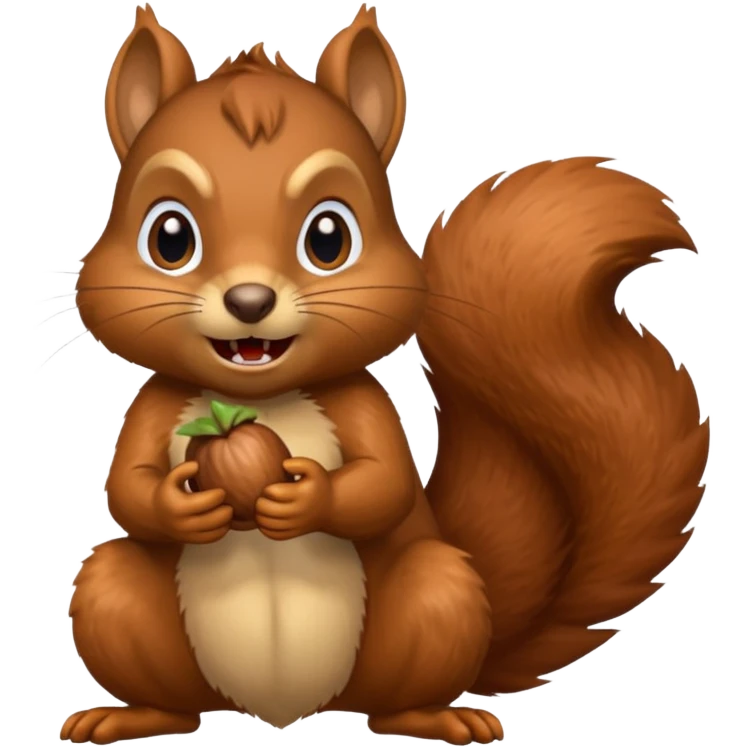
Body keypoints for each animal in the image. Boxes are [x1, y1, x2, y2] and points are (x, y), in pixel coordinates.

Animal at [60, 4, 708, 746]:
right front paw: (181, 504)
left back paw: (435, 715)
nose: (249, 301)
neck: (257, 397)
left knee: (398, 691)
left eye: (329, 238)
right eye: (168, 238)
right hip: (126, 609)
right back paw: (131, 713)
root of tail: (285, 708)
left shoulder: (363, 402)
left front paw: (305, 497)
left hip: (435, 596)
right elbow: (128, 488)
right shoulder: (155, 405)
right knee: (159, 668)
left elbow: (384, 484)